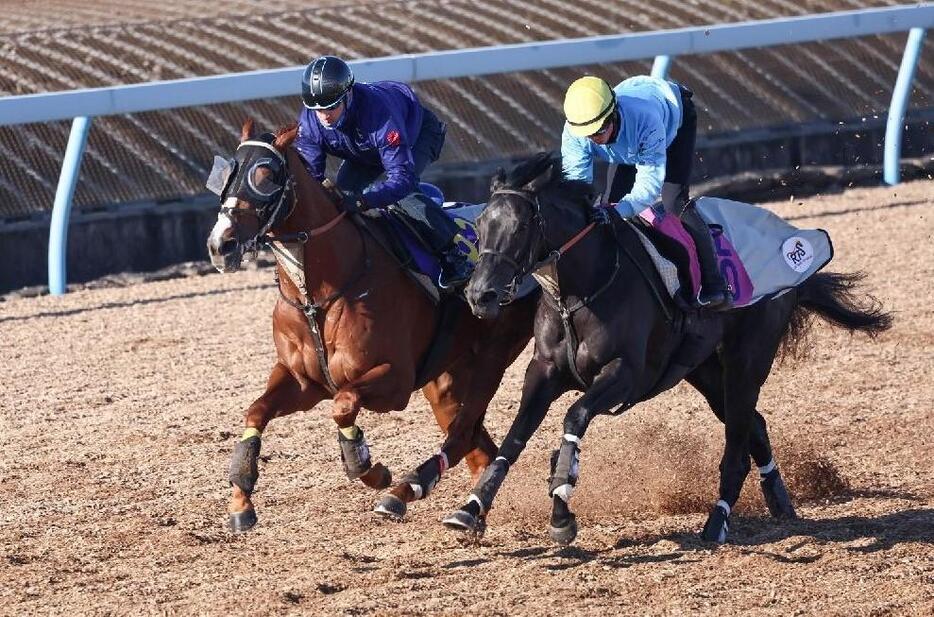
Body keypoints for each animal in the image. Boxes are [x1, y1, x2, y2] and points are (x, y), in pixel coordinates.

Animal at [207, 119, 536, 528]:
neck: (318, 294)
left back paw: (402, 494)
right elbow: (256, 410)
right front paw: (241, 499)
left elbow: (343, 404)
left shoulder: (394, 381)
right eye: (227, 176)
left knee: (463, 435)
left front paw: (369, 468)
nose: (221, 245)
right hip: (446, 378)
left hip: (492, 356)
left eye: (266, 176)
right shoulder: (303, 381)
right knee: (476, 445)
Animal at [442, 154, 896, 544]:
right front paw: (471, 507)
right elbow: (515, 438)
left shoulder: (624, 374)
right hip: (705, 371)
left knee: (737, 443)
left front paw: (561, 501)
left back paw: (718, 521)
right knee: (754, 424)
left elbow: (575, 417)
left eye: (520, 227)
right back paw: (778, 497)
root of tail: (794, 242)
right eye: (479, 224)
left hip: (746, 361)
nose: (480, 295)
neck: (583, 289)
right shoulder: (544, 370)